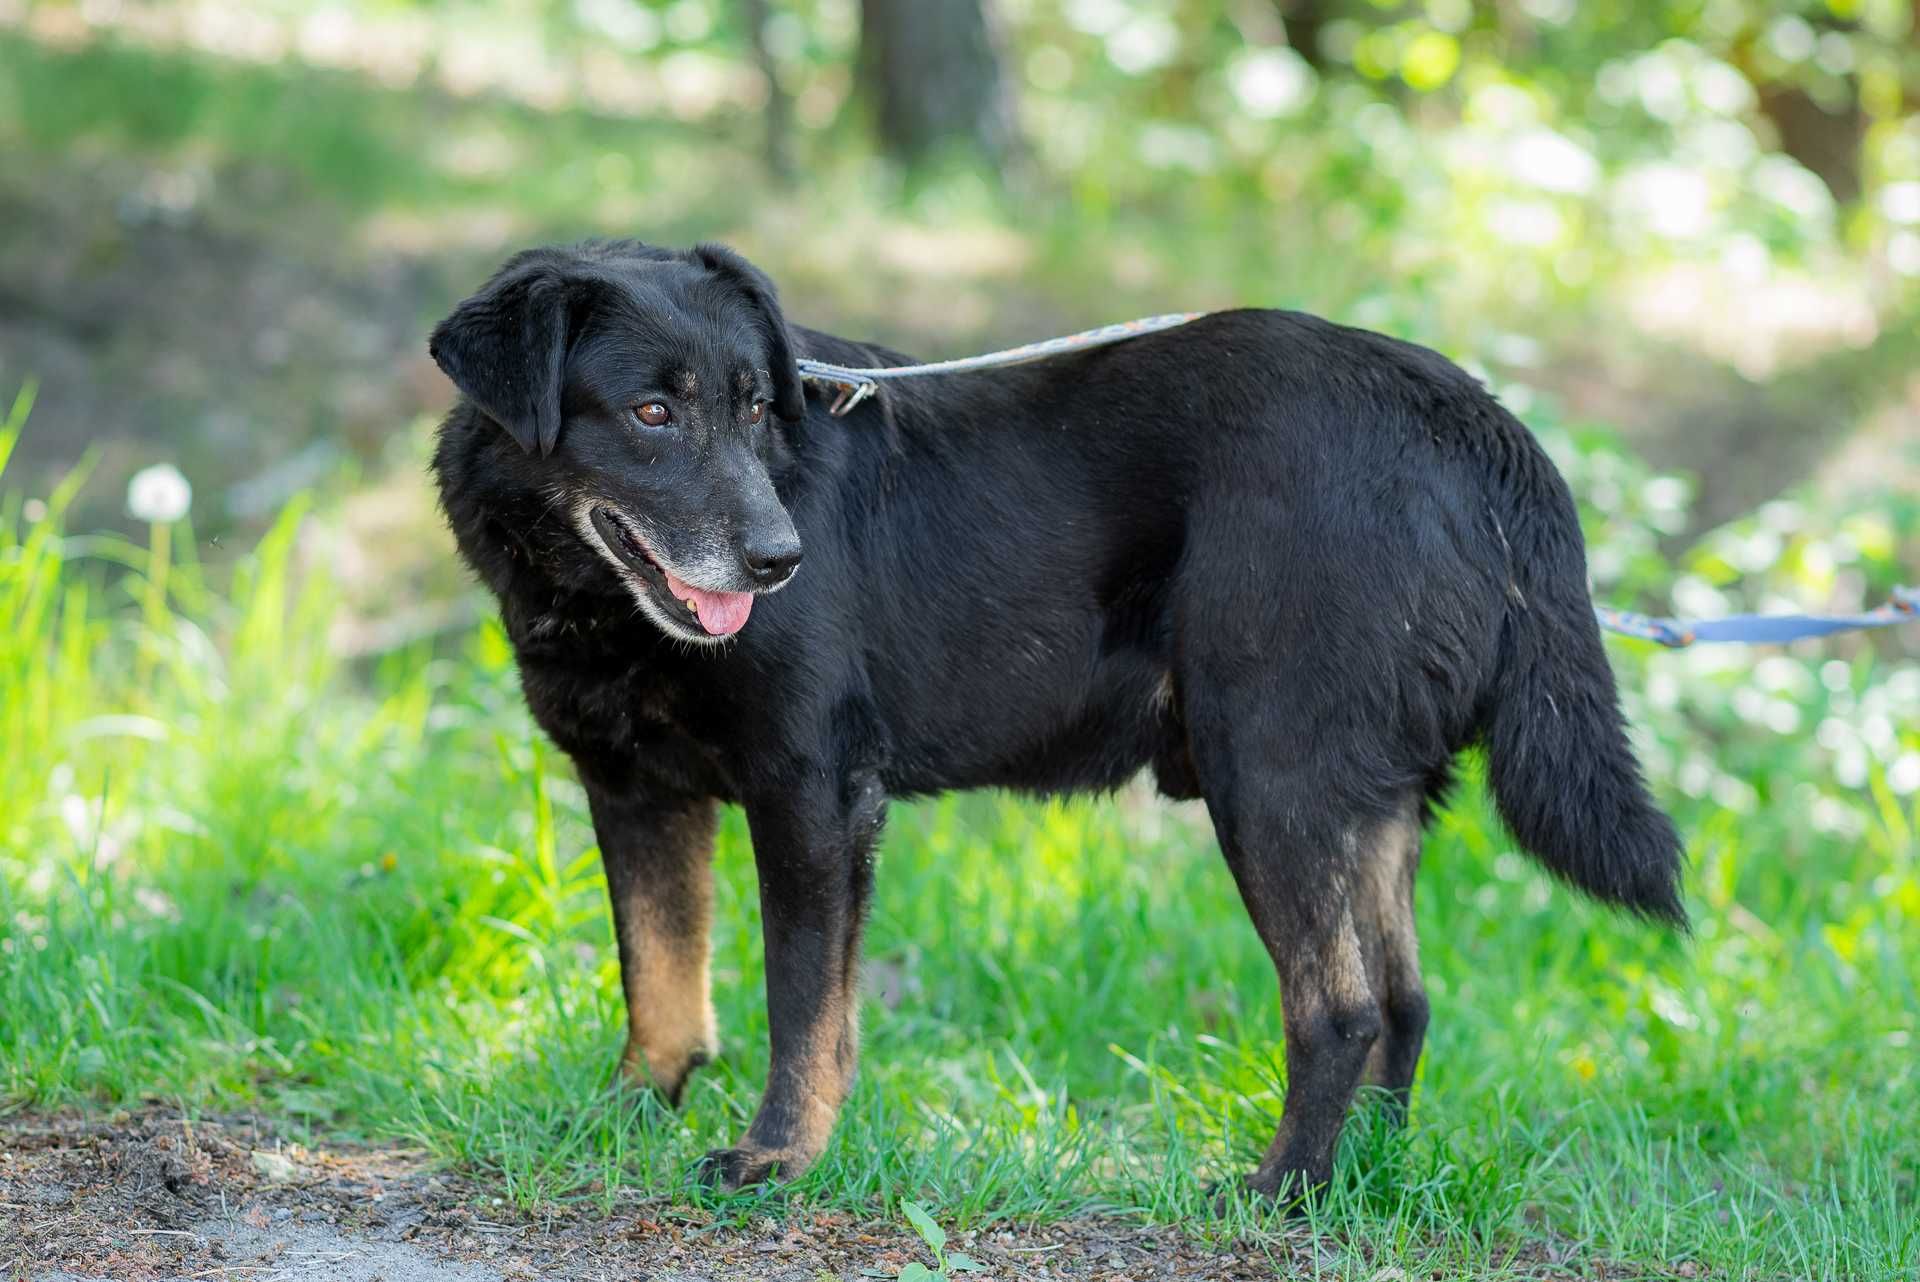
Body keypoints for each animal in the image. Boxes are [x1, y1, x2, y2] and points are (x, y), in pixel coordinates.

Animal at [432, 242, 1681, 1205]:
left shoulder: (814, 794)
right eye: (652, 412)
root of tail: (1470, 419)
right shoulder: (634, 788)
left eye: (754, 407)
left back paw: (1279, 1194)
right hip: (1369, 798)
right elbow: (659, 973)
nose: (782, 559)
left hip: (1271, 776)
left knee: (1341, 1007)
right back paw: (1364, 1176)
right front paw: (630, 1110)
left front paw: (777, 1158)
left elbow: (802, 1005)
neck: (594, 591)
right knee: (1409, 1002)